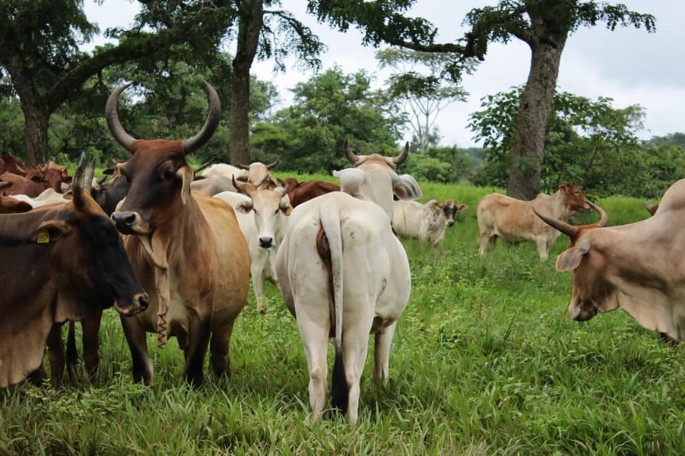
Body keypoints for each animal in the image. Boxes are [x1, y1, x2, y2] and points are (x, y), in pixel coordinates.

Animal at [107, 81, 250, 386]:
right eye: (128, 174)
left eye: (167, 173)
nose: (123, 218)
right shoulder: (129, 316)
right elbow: (143, 368)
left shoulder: (202, 317)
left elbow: (193, 371)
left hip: (225, 324)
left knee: (220, 357)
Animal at [274, 141, 421, 423]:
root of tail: (332, 209)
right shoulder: (388, 322)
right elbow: (381, 366)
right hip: (359, 314)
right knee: (352, 377)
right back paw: (353, 425)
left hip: (310, 310)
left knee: (318, 374)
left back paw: (314, 422)